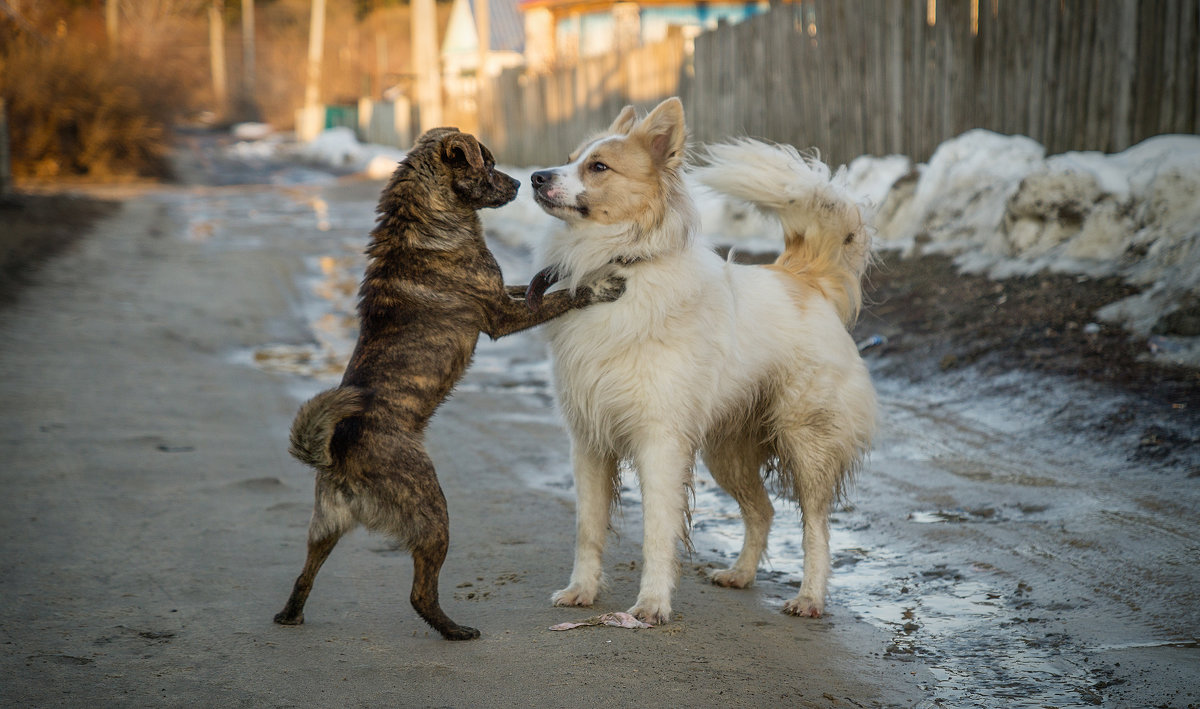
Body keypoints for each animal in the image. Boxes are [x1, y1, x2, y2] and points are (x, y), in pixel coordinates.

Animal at [274, 127, 628, 643]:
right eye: (489, 164)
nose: (522, 183)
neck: (425, 216)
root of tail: (337, 456)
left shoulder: (502, 293)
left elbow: (530, 285)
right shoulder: (500, 316)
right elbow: (565, 296)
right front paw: (597, 286)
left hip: (324, 527)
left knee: (305, 574)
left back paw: (291, 614)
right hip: (432, 513)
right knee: (420, 593)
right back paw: (454, 629)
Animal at [525, 97, 873, 623]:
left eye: (598, 166)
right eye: (570, 158)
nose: (535, 177)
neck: (619, 268)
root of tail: (802, 277)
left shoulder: (660, 442)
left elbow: (657, 531)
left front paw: (651, 604)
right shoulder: (588, 440)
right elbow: (588, 527)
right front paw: (581, 590)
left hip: (807, 440)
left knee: (815, 525)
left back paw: (809, 597)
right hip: (727, 451)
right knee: (763, 510)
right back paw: (741, 574)